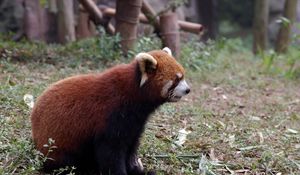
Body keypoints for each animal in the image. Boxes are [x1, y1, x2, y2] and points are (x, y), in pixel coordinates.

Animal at [30, 47, 190, 175]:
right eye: (176, 80)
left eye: (183, 76)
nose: (188, 89)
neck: (134, 94)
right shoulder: (111, 115)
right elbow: (111, 150)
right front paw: (119, 172)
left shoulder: (135, 122)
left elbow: (131, 147)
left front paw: (137, 171)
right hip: (58, 143)